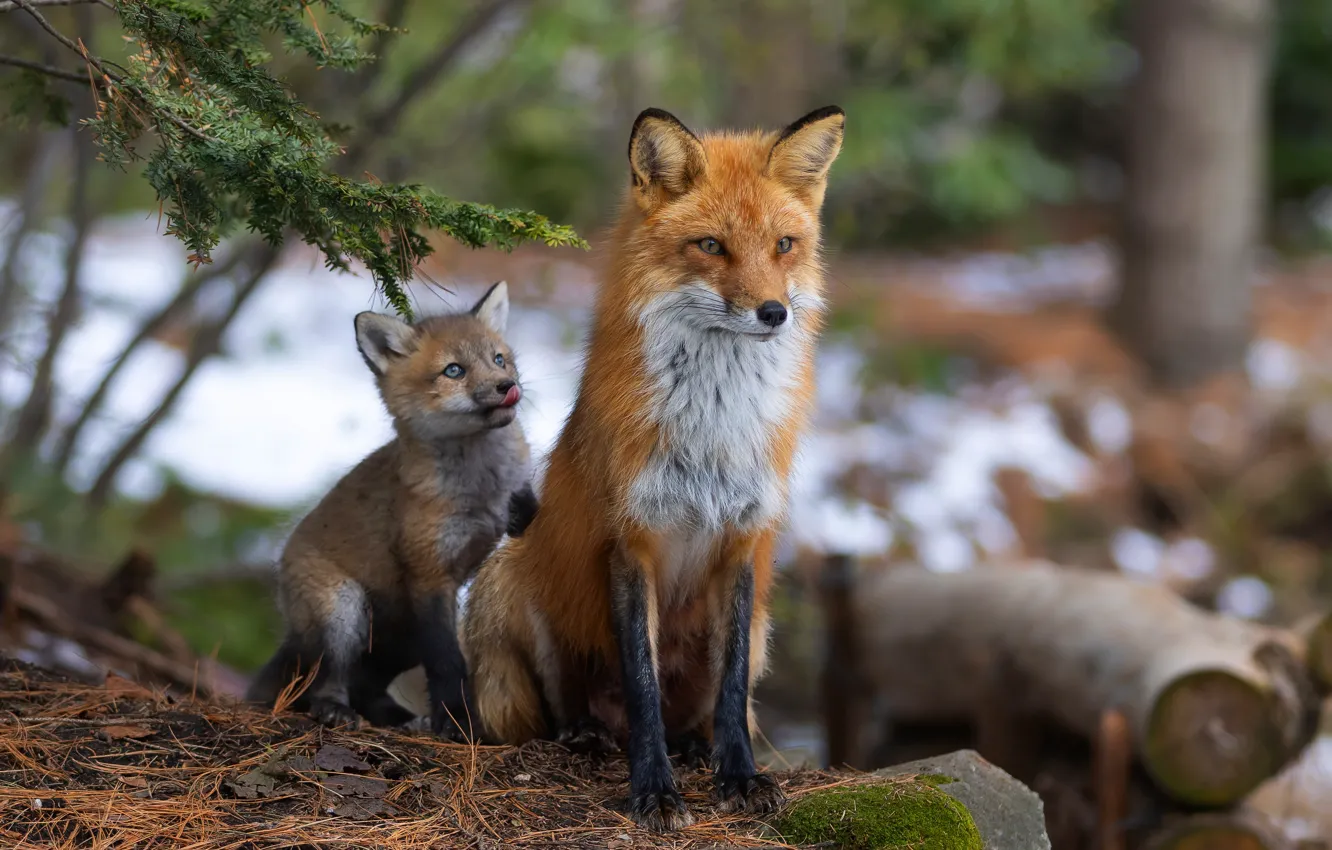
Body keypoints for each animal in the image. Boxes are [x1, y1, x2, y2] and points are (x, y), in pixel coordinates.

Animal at [246, 281, 538, 740]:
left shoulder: (507, 514)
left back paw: (401, 720)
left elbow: (528, 512)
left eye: (498, 358)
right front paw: (455, 723)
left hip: (400, 637)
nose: (508, 385)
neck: (480, 487)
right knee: (325, 681)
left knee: (365, 685)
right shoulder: (429, 576)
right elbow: (447, 663)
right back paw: (334, 710)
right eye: (454, 371)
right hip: (345, 612)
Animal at [459, 107, 844, 830]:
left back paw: (692, 745)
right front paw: (654, 790)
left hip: (762, 628)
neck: (712, 432)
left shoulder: (743, 542)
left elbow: (729, 693)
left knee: (705, 704)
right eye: (711, 246)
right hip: (511, 585)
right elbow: (641, 685)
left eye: (783, 245)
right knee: (567, 710)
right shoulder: (629, 541)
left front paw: (738, 777)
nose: (774, 313)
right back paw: (584, 734)